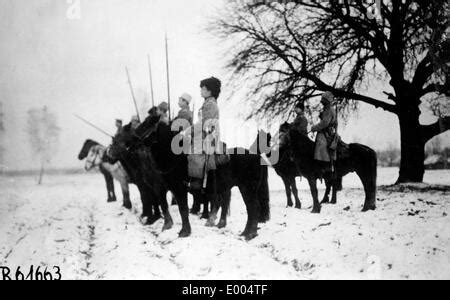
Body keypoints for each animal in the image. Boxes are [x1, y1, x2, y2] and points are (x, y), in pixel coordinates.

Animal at [112, 115, 272, 241]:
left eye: (147, 124)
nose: (130, 143)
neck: (175, 158)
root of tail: (257, 155)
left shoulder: (177, 189)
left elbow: (182, 209)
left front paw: (184, 232)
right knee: (247, 208)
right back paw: (244, 232)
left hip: (247, 188)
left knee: (253, 208)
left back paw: (249, 234)